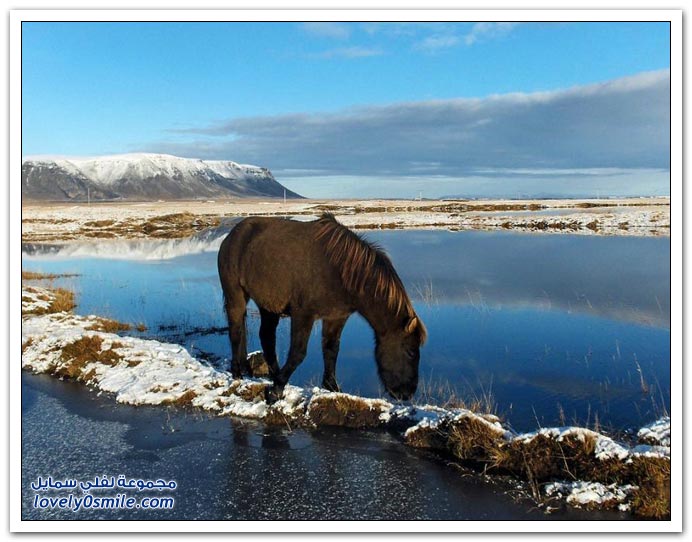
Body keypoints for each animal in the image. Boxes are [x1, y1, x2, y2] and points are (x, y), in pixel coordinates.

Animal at [218, 215, 428, 406]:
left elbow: (331, 350)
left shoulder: (336, 317)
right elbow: (298, 353)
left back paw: (269, 373)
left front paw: (332, 387)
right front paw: (276, 391)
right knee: (236, 331)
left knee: (266, 337)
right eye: (411, 351)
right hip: (236, 296)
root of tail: (232, 235)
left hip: (268, 305)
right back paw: (238, 372)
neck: (341, 270)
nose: (407, 393)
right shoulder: (303, 315)